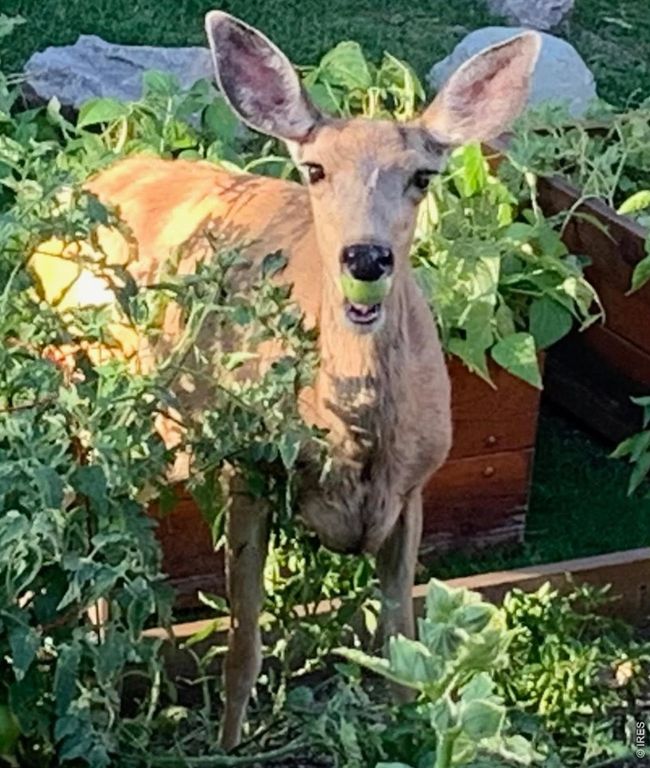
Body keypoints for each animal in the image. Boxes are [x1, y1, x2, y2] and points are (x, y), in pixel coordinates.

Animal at [31, 12, 540, 749]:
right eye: (316, 169)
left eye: (422, 175)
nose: (366, 257)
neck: (354, 444)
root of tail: (87, 185)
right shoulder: (246, 464)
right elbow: (243, 644)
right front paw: (225, 747)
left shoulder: (416, 487)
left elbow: (402, 646)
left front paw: (407, 735)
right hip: (86, 401)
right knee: (96, 533)